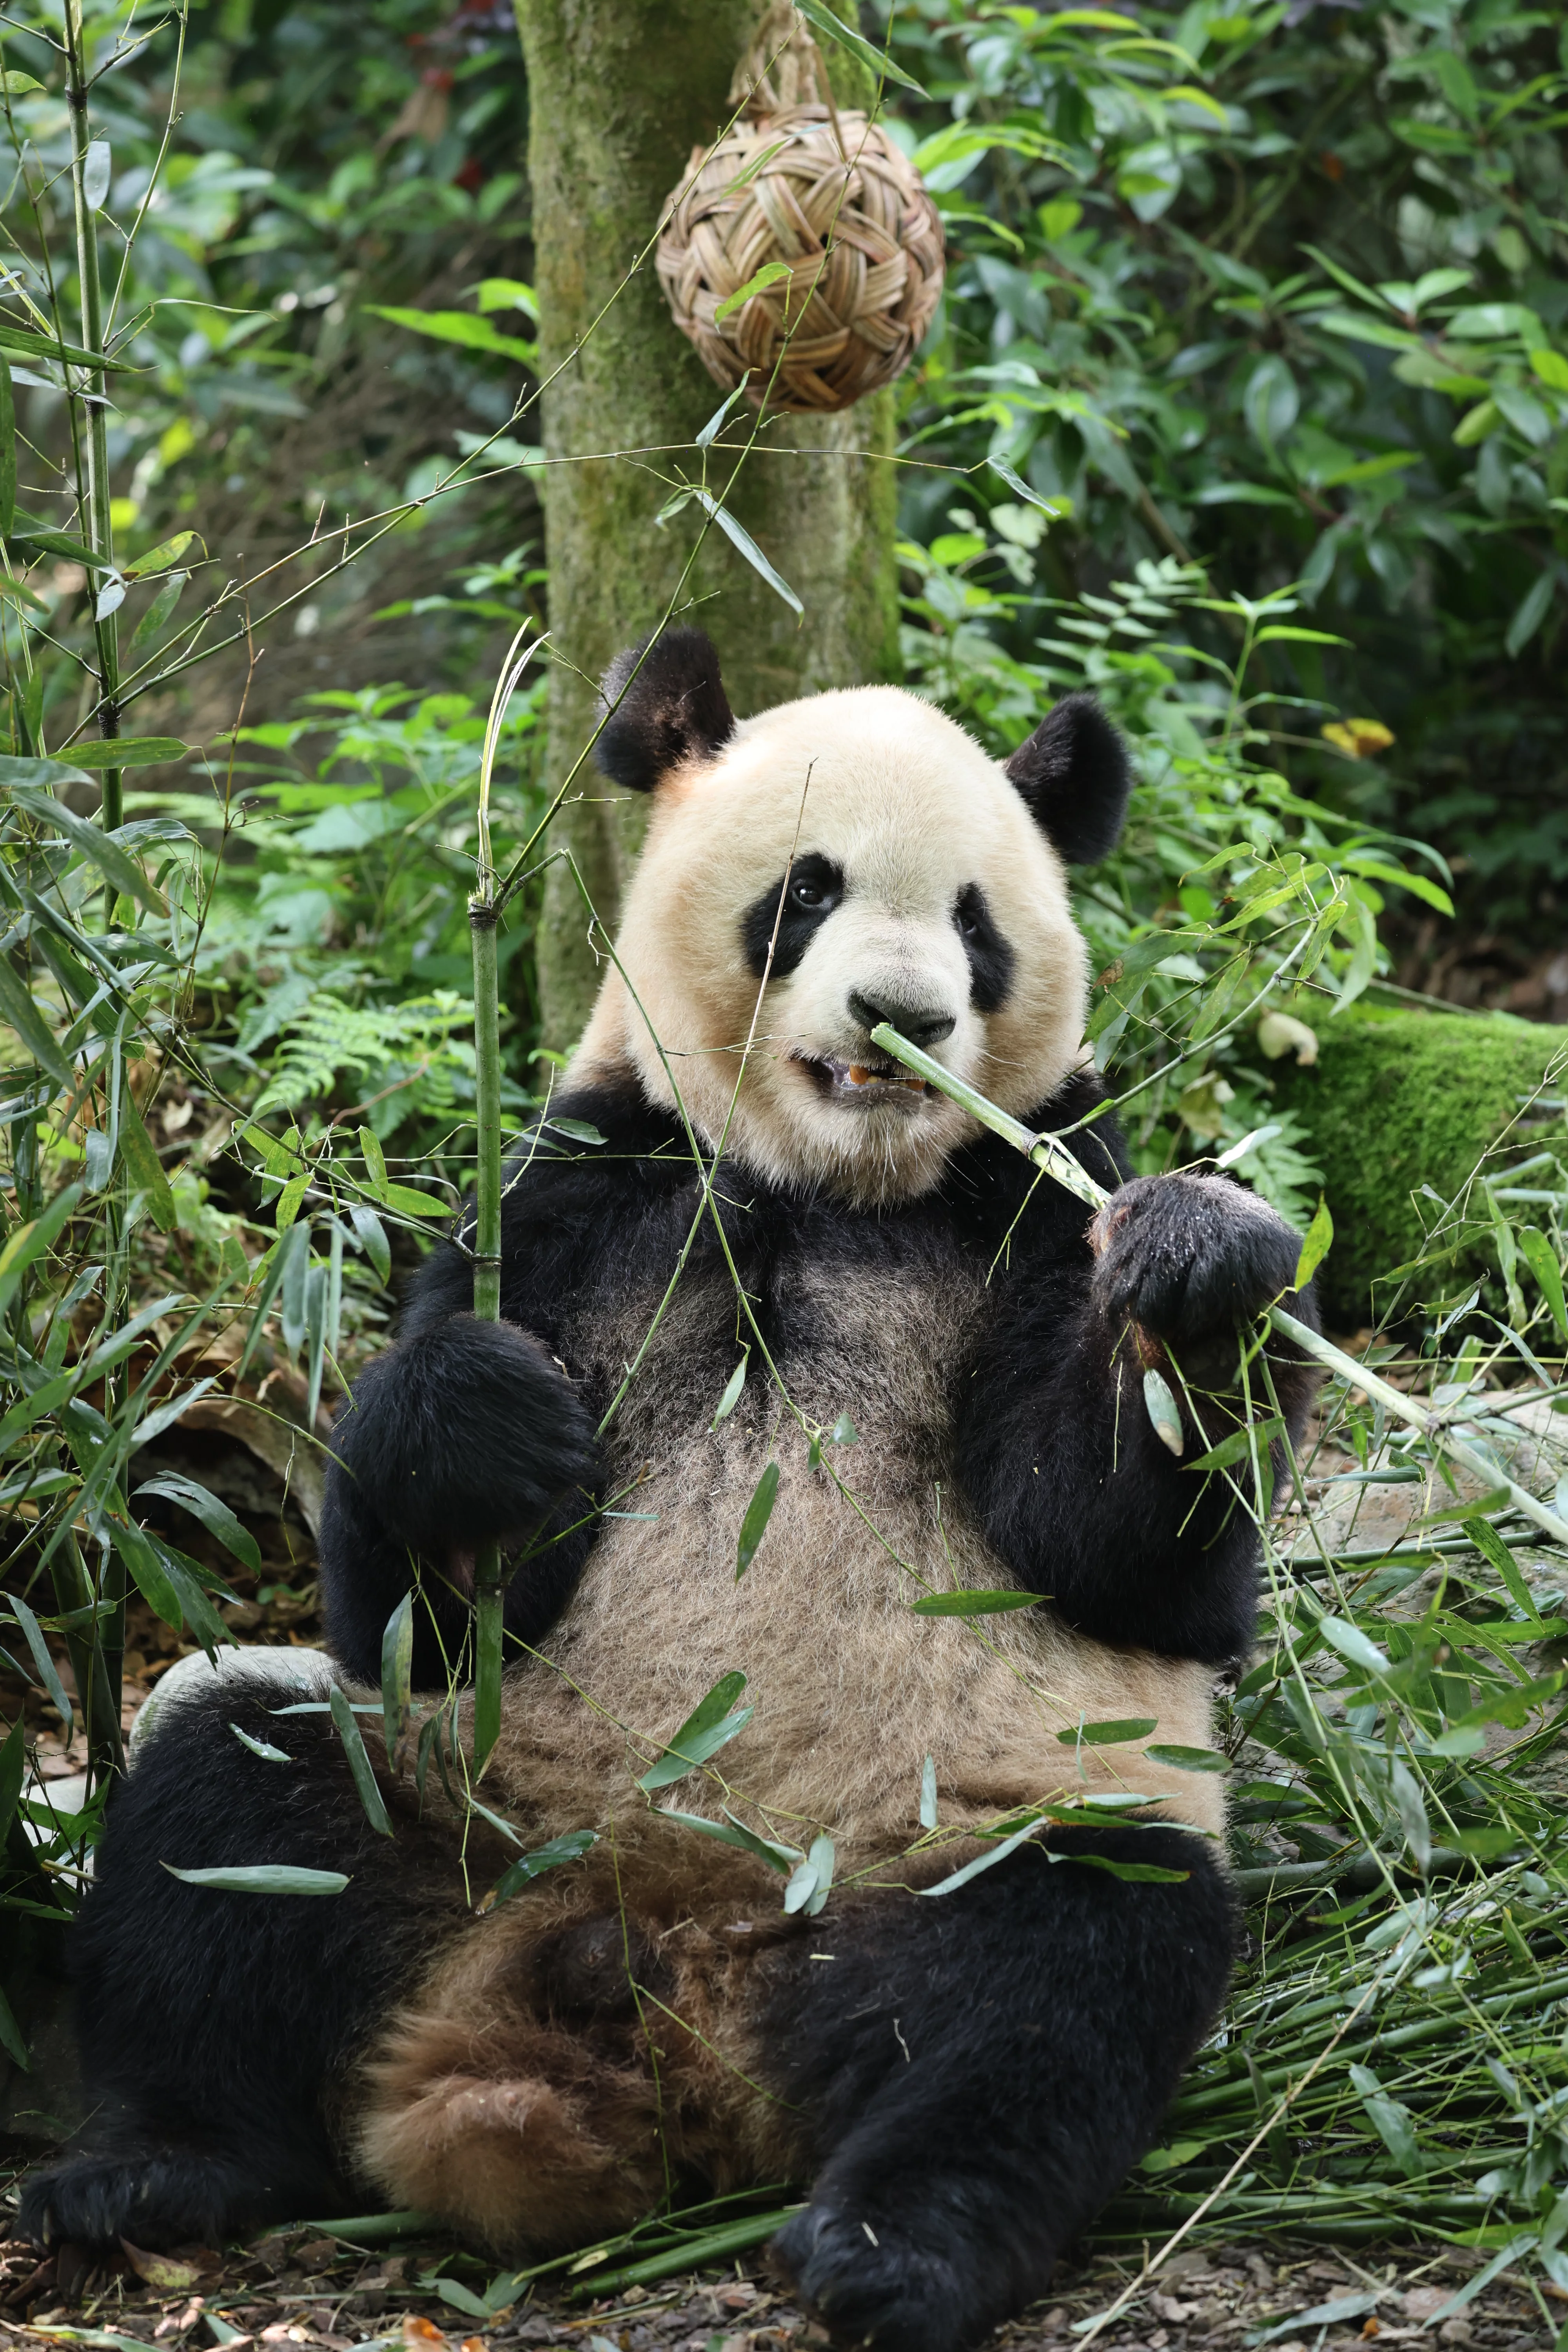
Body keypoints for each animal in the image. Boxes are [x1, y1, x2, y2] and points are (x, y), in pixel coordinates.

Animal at [23, 630, 1318, 2352]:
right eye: (808, 892)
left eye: (976, 926)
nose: (904, 1017)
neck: (827, 1184)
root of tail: (657, 1991)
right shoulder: (581, 1189)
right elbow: (411, 1608)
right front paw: (483, 1419)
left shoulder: (1040, 1184)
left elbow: (1128, 1568)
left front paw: (1197, 1275)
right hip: (462, 1810)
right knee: (229, 1798)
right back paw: (145, 2172)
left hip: (948, 1847)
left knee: (1064, 1970)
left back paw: (894, 2246)